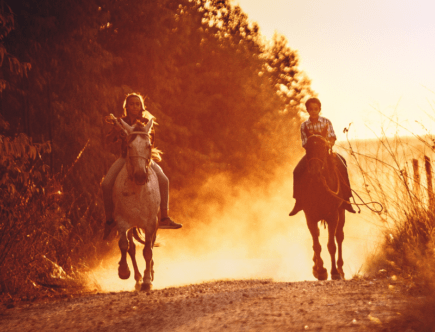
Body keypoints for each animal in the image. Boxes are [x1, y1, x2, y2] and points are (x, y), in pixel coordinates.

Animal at [112, 118, 160, 290]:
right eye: (129, 146)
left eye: (148, 145)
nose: (140, 176)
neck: (138, 191)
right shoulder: (122, 222)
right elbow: (124, 245)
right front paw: (124, 271)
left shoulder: (151, 223)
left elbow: (147, 251)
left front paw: (147, 280)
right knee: (131, 248)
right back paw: (137, 278)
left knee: (149, 246)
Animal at [304, 134, 348, 280]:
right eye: (307, 148)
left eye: (323, 148)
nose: (314, 172)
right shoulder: (310, 217)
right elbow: (316, 245)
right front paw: (320, 270)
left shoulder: (332, 216)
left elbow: (331, 245)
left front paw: (334, 272)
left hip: (341, 212)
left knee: (339, 237)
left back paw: (340, 269)